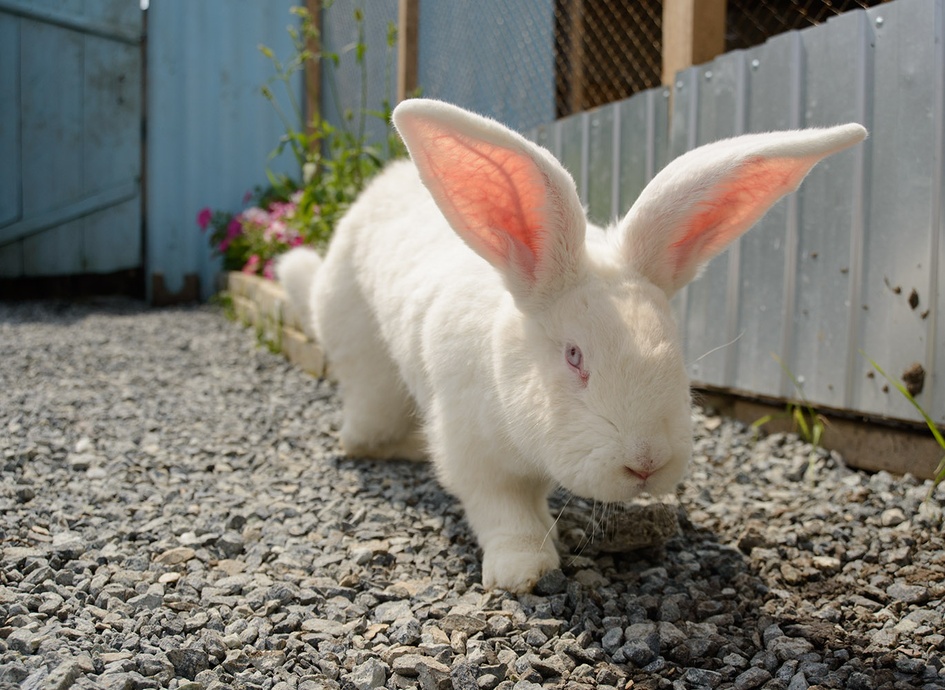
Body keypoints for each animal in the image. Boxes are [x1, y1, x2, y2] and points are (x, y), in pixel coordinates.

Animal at [278, 98, 866, 592]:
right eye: (574, 356)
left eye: (673, 348)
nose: (647, 463)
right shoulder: (475, 456)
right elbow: (504, 512)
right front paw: (523, 572)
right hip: (367, 369)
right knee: (364, 434)